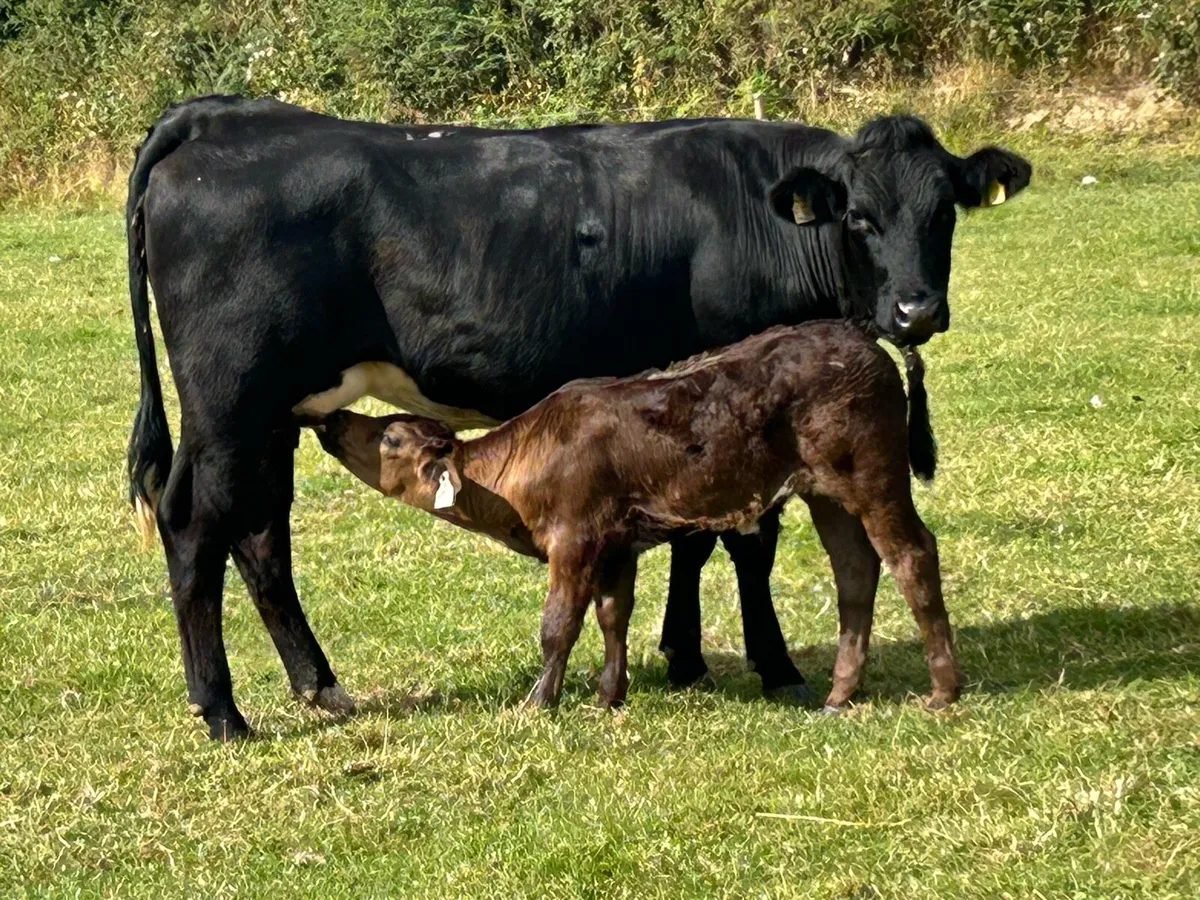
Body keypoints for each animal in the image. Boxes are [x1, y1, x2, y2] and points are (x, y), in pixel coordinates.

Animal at [306, 321, 958, 711]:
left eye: (390, 438)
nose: (332, 420)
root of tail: (863, 338)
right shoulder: (616, 541)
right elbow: (612, 614)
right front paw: (607, 697)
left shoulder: (574, 536)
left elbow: (559, 623)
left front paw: (539, 704)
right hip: (826, 489)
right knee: (855, 570)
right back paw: (839, 695)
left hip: (872, 470)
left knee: (911, 554)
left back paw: (943, 690)